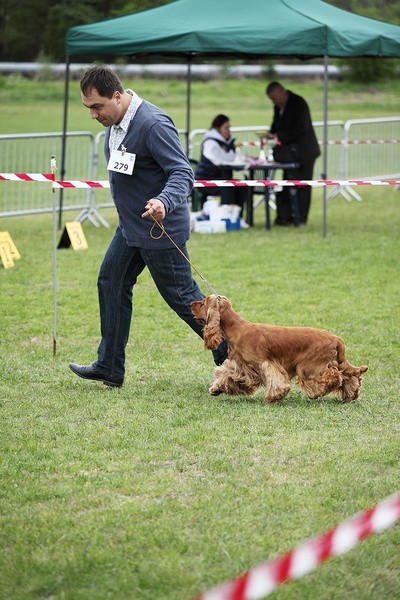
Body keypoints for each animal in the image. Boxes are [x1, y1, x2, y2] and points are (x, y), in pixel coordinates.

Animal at [191, 296, 368, 404]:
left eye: (203, 302)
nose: (190, 304)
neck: (236, 328)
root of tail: (336, 338)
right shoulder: (241, 366)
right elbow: (227, 375)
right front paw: (216, 389)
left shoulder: (264, 363)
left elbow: (277, 382)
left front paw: (275, 396)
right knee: (348, 376)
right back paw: (350, 395)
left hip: (309, 367)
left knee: (335, 377)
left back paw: (318, 393)